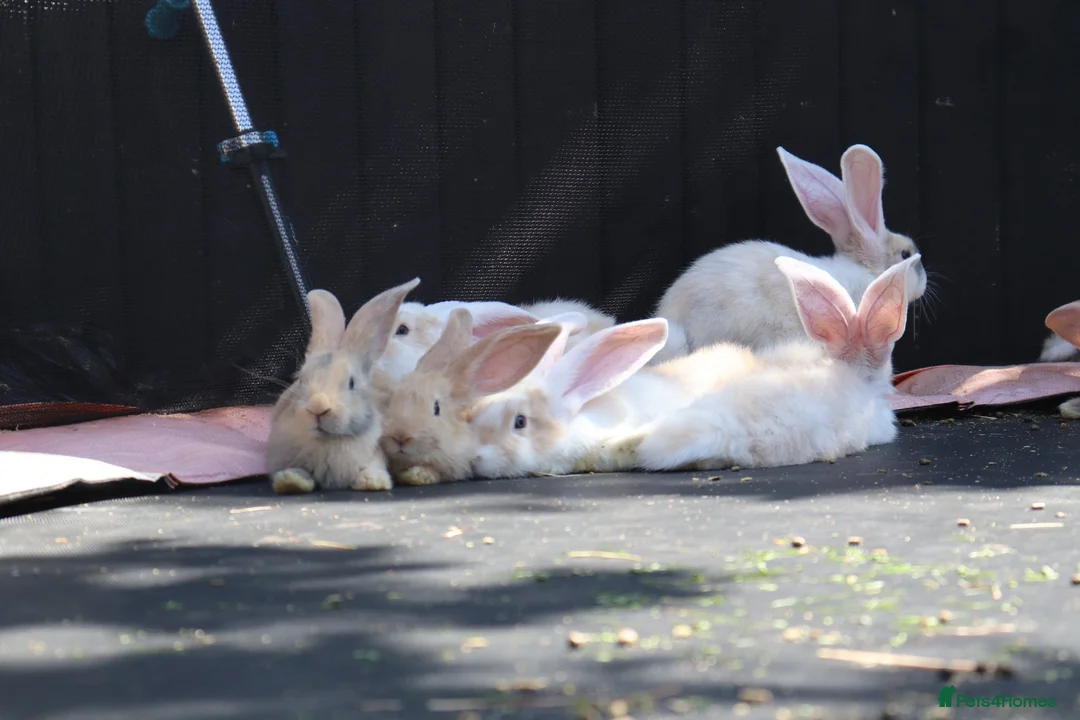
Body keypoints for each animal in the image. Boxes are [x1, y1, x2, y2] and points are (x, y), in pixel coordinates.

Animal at [266, 277, 420, 494]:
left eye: (352, 382)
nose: (318, 406)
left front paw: (373, 482)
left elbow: (373, 467)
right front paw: (290, 480)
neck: (328, 440)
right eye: (301, 380)